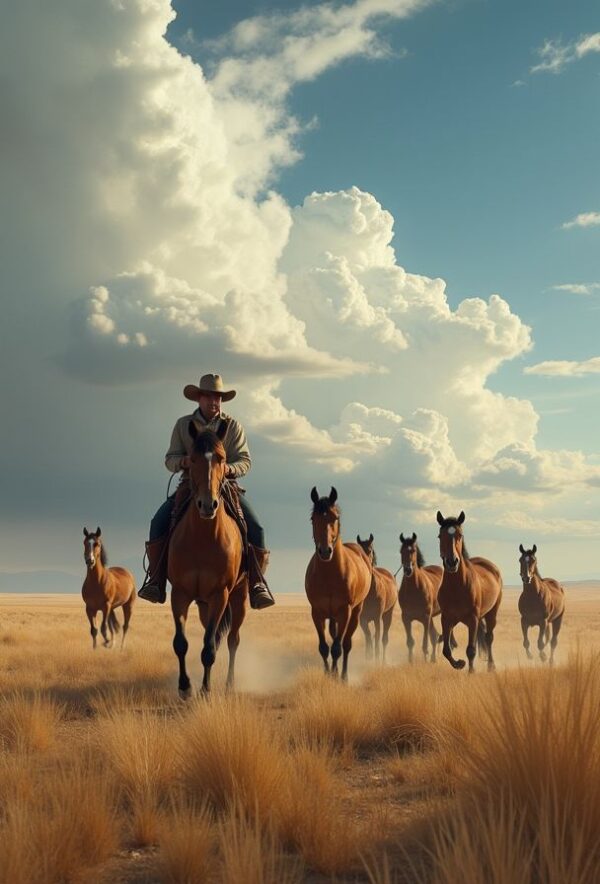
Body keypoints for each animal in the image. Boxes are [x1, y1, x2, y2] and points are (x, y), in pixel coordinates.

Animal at [166, 422, 246, 696]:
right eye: (192, 459)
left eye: (221, 458)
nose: (207, 505)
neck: (203, 539)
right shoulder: (179, 594)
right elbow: (181, 643)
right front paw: (184, 686)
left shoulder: (219, 595)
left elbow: (210, 646)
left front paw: (206, 689)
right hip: (202, 604)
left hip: (239, 596)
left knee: (232, 639)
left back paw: (230, 683)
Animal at [308, 486, 372, 680]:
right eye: (313, 518)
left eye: (334, 517)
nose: (325, 551)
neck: (329, 575)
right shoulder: (317, 613)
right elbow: (323, 647)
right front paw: (328, 674)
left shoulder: (345, 612)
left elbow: (338, 647)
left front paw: (340, 678)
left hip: (355, 613)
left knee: (346, 643)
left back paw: (343, 674)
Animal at [354, 532, 396, 664]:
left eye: (370, 550)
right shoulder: (363, 619)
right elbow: (368, 636)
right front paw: (368, 656)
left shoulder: (377, 618)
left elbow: (377, 637)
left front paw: (376, 658)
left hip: (388, 615)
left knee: (384, 638)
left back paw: (383, 661)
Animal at [400, 532, 442, 664]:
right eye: (401, 551)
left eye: (413, 550)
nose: (408, 570)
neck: (414, 589)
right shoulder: (406, 618)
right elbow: (410, 642)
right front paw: (410, 662)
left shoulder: (425, 618)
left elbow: (425, 644)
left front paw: (425, 661)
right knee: (435, 635)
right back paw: (434, 659)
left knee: (434, 636)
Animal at [436, 508, 502, 672]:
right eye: (440, 536)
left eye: (460, 535)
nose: (452, 562)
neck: (457, 587)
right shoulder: (447, 619)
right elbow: (446, 650)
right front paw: (460, 663)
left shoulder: (472, 619)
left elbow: (471, 650)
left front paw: (471, 672)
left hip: (491, 613)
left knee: (489, 638)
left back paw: (491, 666)